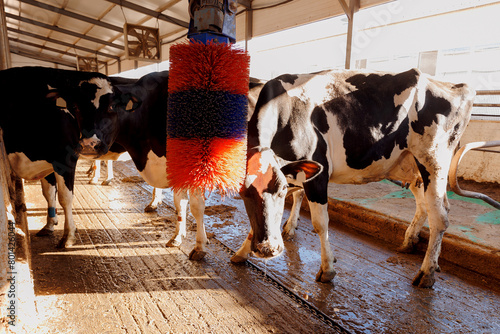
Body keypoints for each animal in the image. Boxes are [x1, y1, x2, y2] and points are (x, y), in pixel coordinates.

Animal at [0, 66, 118, 248]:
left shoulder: (65, 158)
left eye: (112, 106)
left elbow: (65, 197)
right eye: (75, 106)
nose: (90, 143)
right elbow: (48, 193)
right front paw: (50, 224)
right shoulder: (47, 163)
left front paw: (68, 235)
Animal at [232, 68, 474, 288]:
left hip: (433, 160)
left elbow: (320, 223)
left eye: (282, 189)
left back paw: (426, 273)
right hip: (412, 165)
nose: (268, 249)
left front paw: (327, 269)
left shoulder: (317, 176)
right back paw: (411, 242)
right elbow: (255, 224)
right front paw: (242, 253)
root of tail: (456, 85)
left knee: (439, 217)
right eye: (243, 193)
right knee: (427, 206)